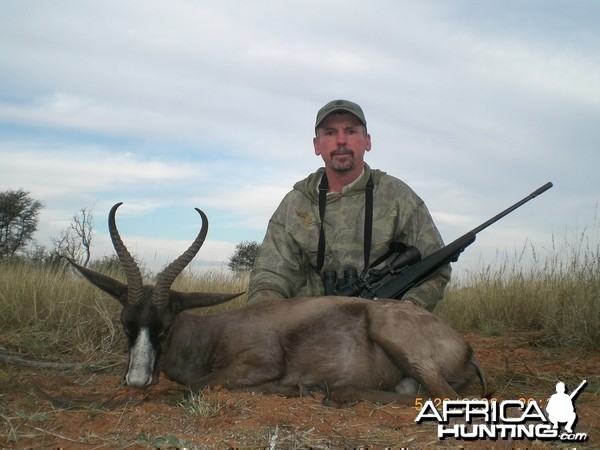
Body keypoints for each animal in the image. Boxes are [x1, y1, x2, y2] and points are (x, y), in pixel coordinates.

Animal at [67, 202, 488, 406]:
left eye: (166, 325)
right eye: (126, 322)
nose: (137, 379)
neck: (213, 332)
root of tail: (466, 349)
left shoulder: (261, 362)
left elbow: (198, 385)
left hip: (395, 338)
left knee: (445, 398)